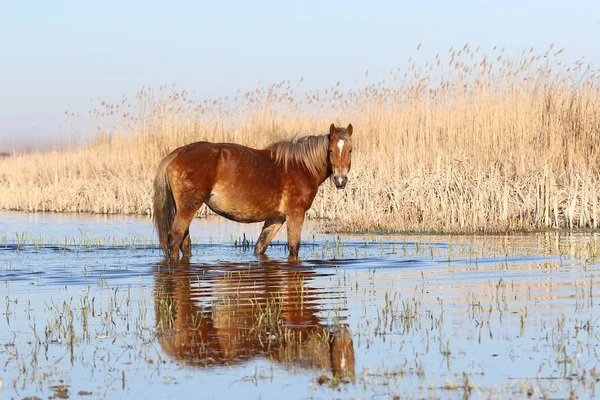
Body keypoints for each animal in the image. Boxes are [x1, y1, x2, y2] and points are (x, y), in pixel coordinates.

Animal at [152, 125, 354, 262]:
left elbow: (260, 247)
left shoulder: (275, 219)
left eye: (350, 150)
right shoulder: (295, 215)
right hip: (188, 208)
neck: (301, 167)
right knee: (174, 239)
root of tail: (179, 152)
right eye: (330, 150)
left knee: (184, 242)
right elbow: (293, 248)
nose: (340, 179)